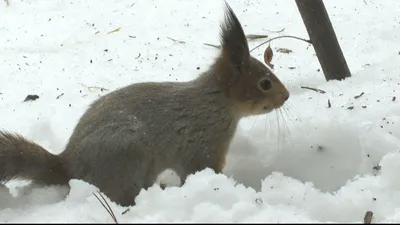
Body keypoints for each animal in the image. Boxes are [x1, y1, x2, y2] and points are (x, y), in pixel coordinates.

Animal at [0, 1, 288, 207]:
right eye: (265, 83)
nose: (286, 96)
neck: (216, 103)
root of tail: (70, 165)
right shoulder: (203, 146)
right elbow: (202, 169)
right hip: (129, 151)